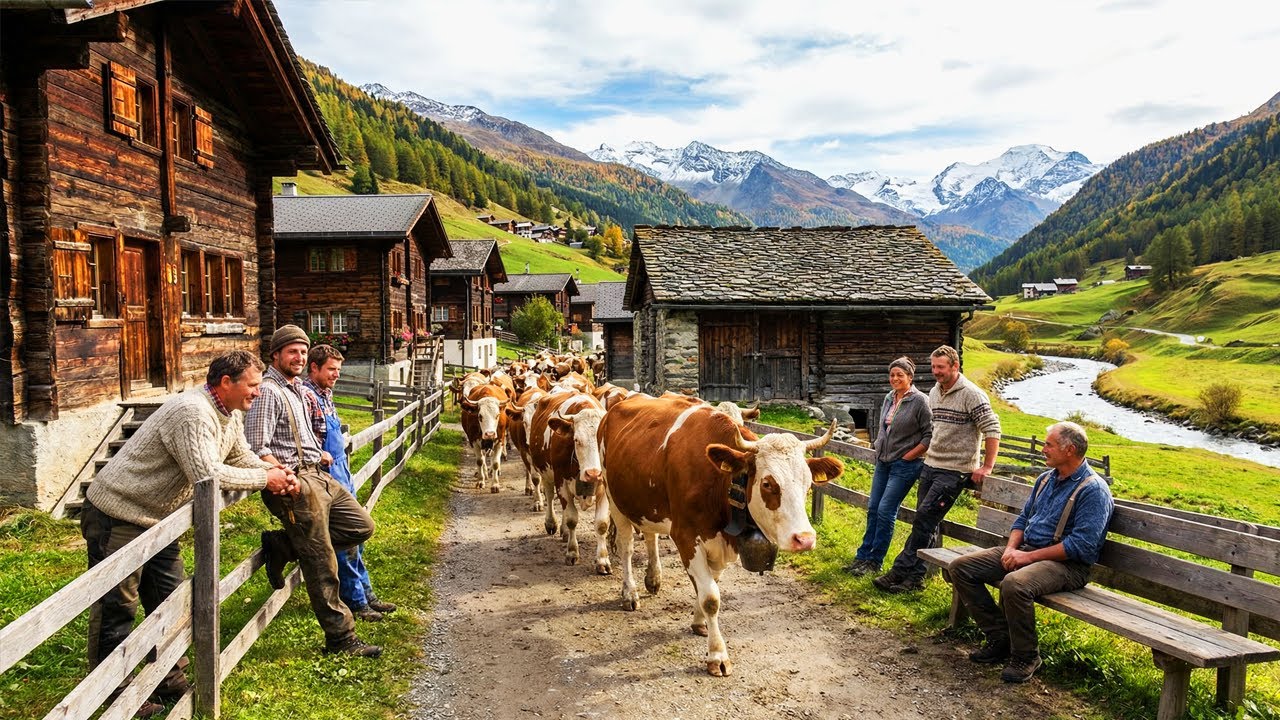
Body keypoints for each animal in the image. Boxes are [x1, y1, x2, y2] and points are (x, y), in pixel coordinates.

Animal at [526, 390, 610, 572]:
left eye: (602, 440)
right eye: (576, 440)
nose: (593, 473)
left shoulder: (604, 488)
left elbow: (601, 524)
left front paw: (602, 560)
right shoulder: (561, 483)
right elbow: (572, 519)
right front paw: (572, 553)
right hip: (547, 475)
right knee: (550, 497)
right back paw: (552, 523)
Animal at [598, 394, 843, 676]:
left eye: (808, 483)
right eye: (768, 484)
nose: (805, 539)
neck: (722, 482)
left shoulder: (720, 544)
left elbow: (710, 585)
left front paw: (699, 622)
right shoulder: (686, 536)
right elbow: (711, 598)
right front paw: (717, 655)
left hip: (647, 504)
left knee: (650, 537)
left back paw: (654, 578)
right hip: (615, 498)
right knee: (626, 546)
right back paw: (630, 593)